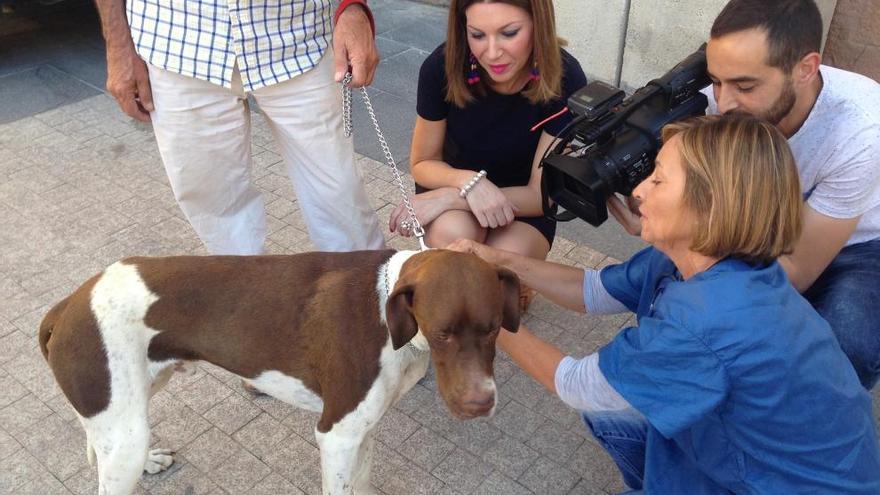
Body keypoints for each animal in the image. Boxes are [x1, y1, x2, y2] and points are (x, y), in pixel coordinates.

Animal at [41, 250, 520, 494]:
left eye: (495, 327)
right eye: (442, 334)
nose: (480, 403)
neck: (388, 315)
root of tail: (67, 305)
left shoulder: (363, 432)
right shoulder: (336, 436)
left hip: (136, 402)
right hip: (124, 431)